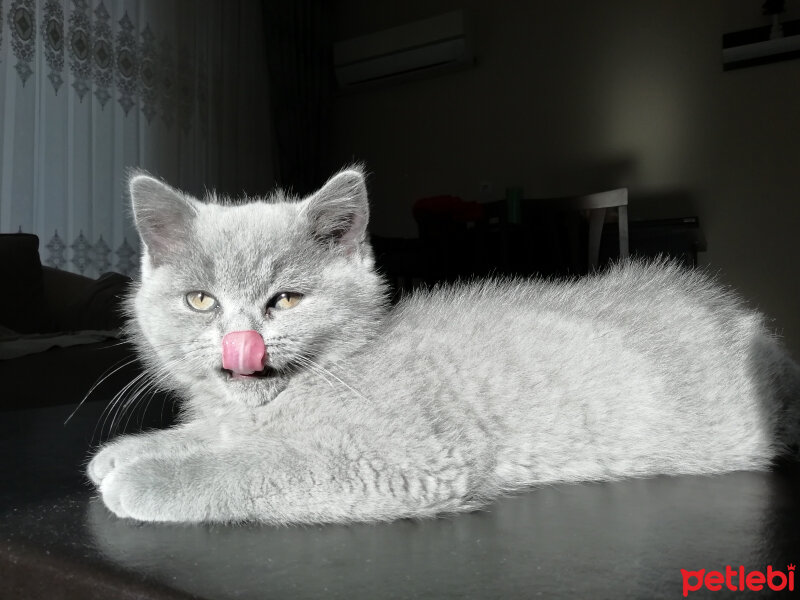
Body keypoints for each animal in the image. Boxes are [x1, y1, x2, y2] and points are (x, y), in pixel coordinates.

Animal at [87, 166, 800, 524]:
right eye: (201, 301)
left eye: (285, 300)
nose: (244, 342)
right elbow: (220, 437)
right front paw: (133, 450)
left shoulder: (412, 458)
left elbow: (260, 465)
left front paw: (146, 477)